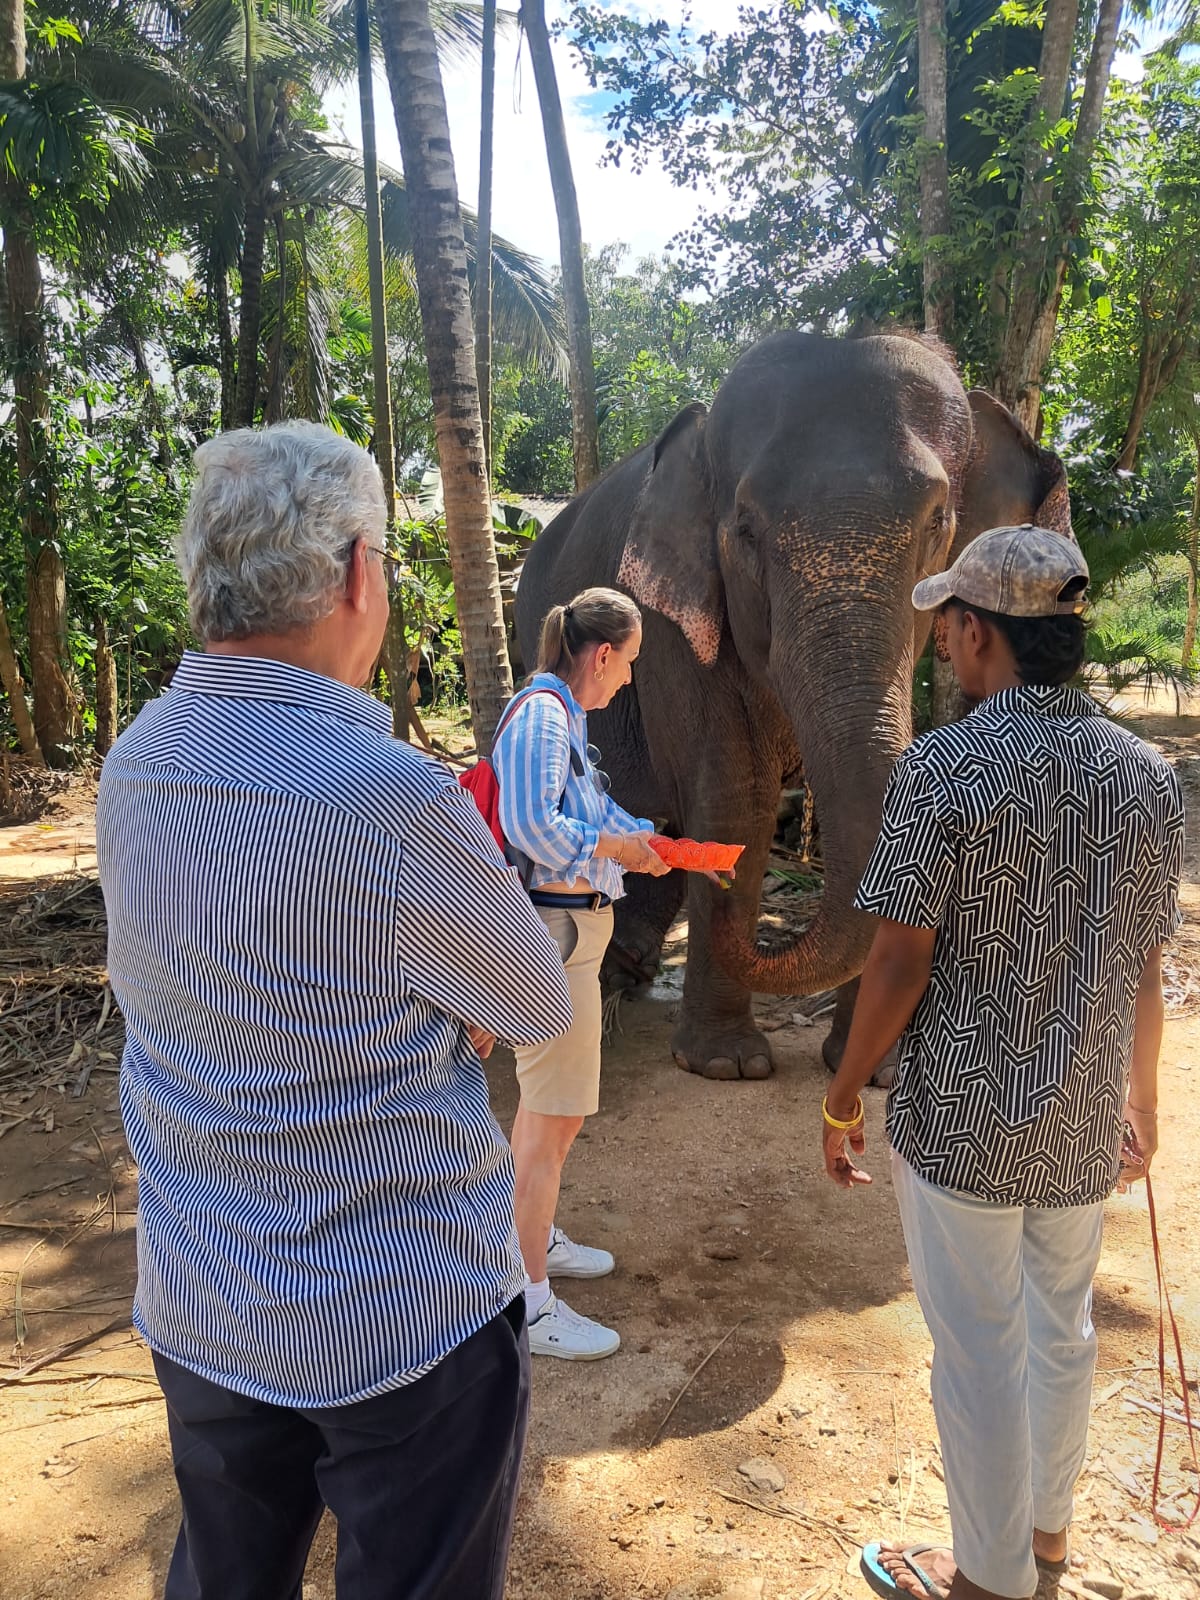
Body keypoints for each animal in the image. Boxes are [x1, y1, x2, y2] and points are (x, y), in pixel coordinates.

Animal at [514, 331, 1073, 1081]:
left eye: (939, 522)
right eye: (745, 530)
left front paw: (872, 1071)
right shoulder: (669, 629)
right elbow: (736, 799)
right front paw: (726, 1066)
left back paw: (628, 967)